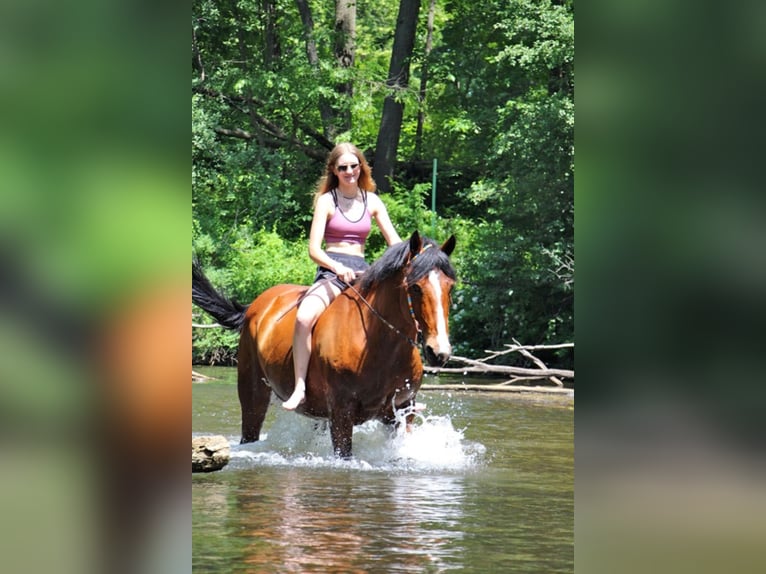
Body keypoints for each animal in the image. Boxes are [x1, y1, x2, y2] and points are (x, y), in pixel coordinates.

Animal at [194, 230, 456, 460]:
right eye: (415, 287)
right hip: (253, 395)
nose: (439, 352)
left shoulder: (401, 412)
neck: (376, 346)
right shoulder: (341, 412)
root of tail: (254, 307)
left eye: (450, 286)